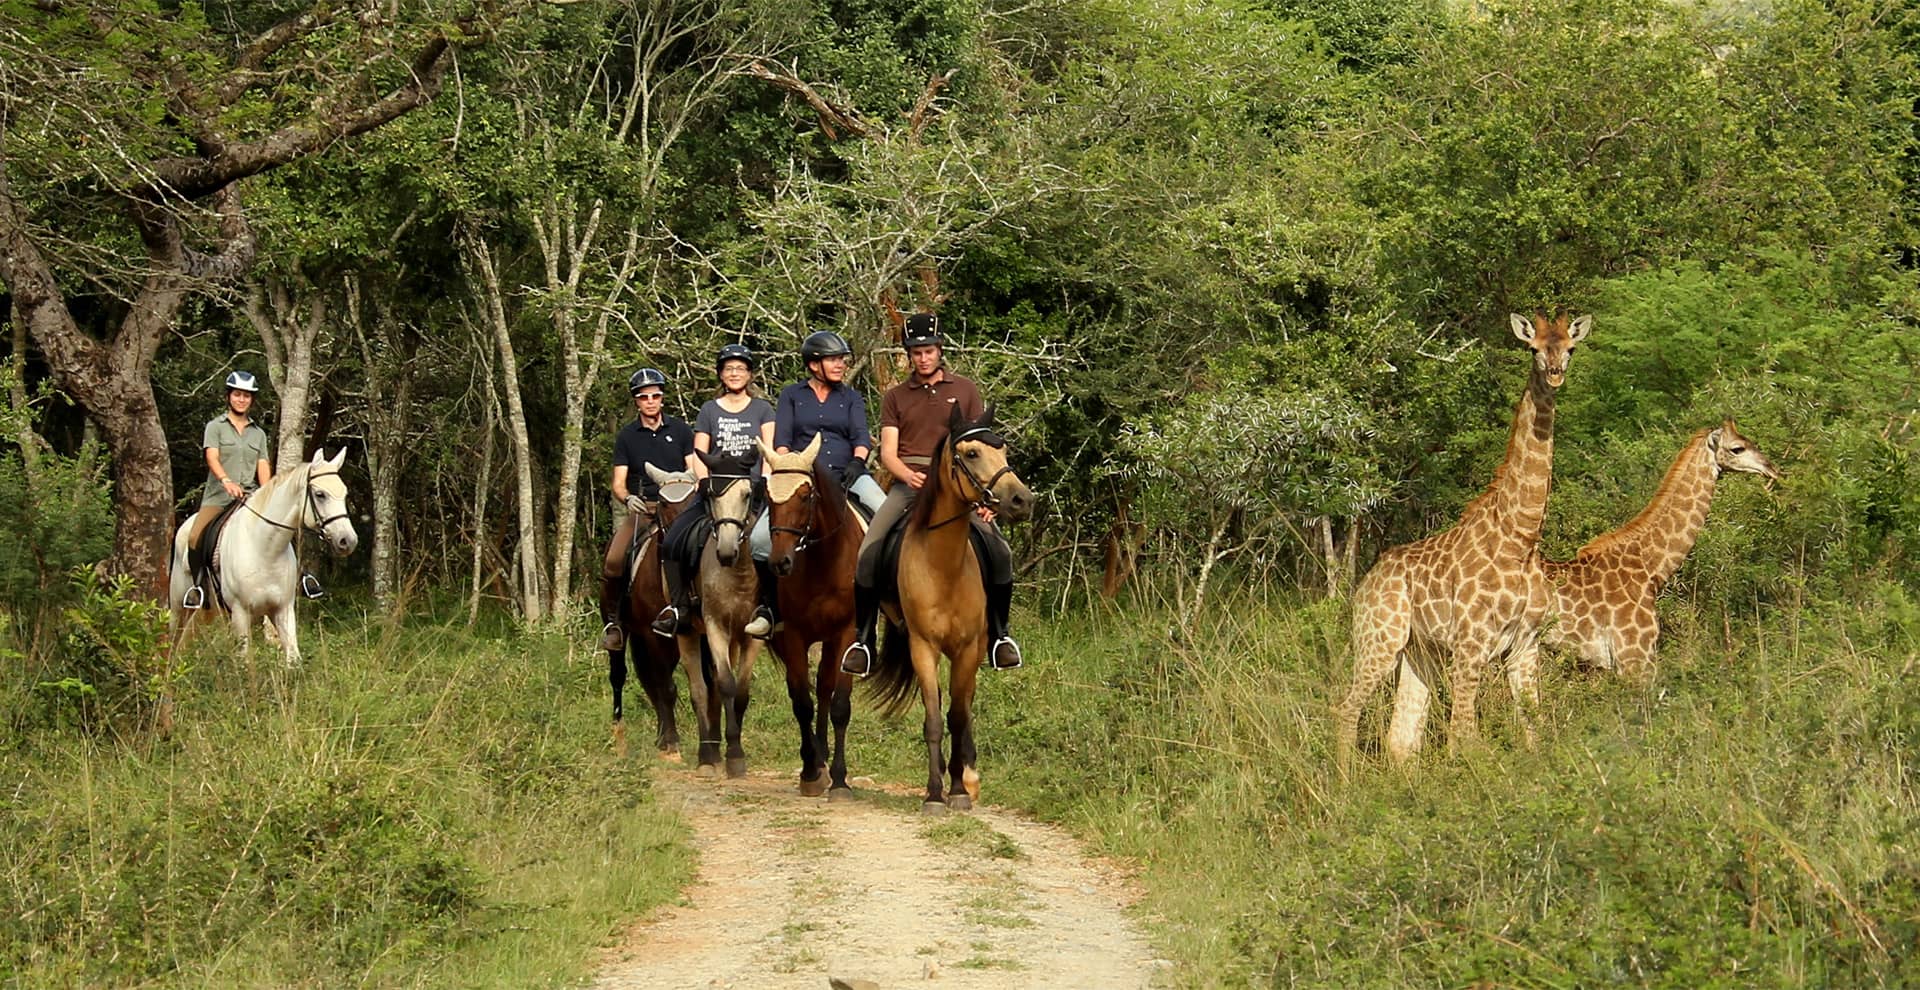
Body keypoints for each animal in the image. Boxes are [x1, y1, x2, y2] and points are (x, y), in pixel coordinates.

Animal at [167, 448, 359, 667]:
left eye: (344, 493)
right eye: (320, 495)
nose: (348, 541)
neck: (265, 550)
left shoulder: (283, 610)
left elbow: (293, 660)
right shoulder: (240, 613)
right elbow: (244, 661)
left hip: (209, 610)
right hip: (179, 607)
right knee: (174, 640)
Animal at [609, 464, 700, 760]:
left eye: (693, 499)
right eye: (663, 503)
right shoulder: (653, 636)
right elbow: (666, 688)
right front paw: (672, 744)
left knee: (650, 682)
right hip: (626, 633)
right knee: (620, 677)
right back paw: (620, 740)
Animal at [756, 433, 860, 798]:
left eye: (805, 496)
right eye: (768, 497)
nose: (780, 563)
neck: (822, 562)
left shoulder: (847, 633)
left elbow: (840, 704)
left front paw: (840, 779)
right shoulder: (795, 634)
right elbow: (802, 701)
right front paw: (810, 771)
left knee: (827, 688)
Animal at [868, 404, 1034, 813]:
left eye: (1003, 450)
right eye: (971, 453)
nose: (1022, 500)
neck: (942, 565)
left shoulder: (967, 649)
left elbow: (958, 717)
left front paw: (959, 789)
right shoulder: (922, 647)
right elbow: (933, 720)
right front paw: (933, 793)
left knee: (965, 705)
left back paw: (968, 776)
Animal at [1333, 311, 1591, 775]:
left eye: (1571, 347)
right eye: (1533, 348)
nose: (1555, 373)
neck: (1520, 539)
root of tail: (1365, 583)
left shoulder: (1525, 644)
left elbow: (1534, 729)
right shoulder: (1471, 642)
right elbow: (1465, 737)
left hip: (1421, 652)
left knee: (1401, 738)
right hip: (1380, 637)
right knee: (1347, 709)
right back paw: (1344, 783)